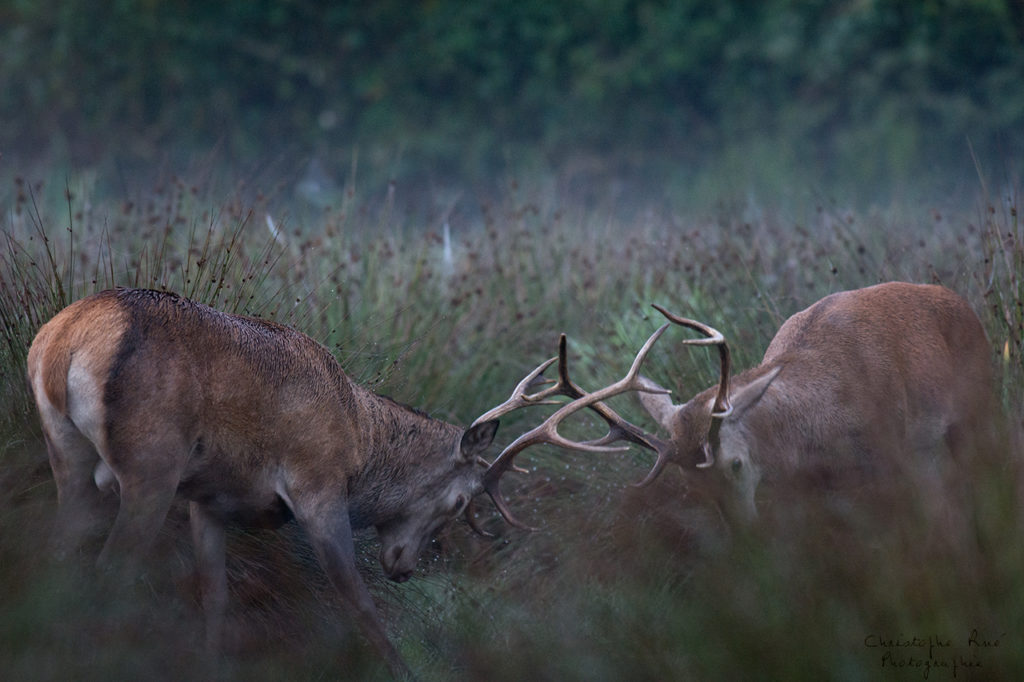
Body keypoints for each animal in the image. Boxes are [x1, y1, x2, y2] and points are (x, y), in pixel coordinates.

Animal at [25, 284, 577, 675]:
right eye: (461, 501)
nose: (404, 569)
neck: (359, 441)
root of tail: (64, 340)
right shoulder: (318, 485)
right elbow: (357, 600)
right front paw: (402, 670)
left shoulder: (208, 498)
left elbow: (215, 597)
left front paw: (210, 663)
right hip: (151, 463)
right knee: (107, 570)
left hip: (64, 453)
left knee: (57, 557)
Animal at [475, 280, 995, 524]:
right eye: (690, 486)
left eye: (736, 465)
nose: (745, 535)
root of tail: (963, 302)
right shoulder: (807, 485)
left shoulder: (892, 454)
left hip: (974, 410)